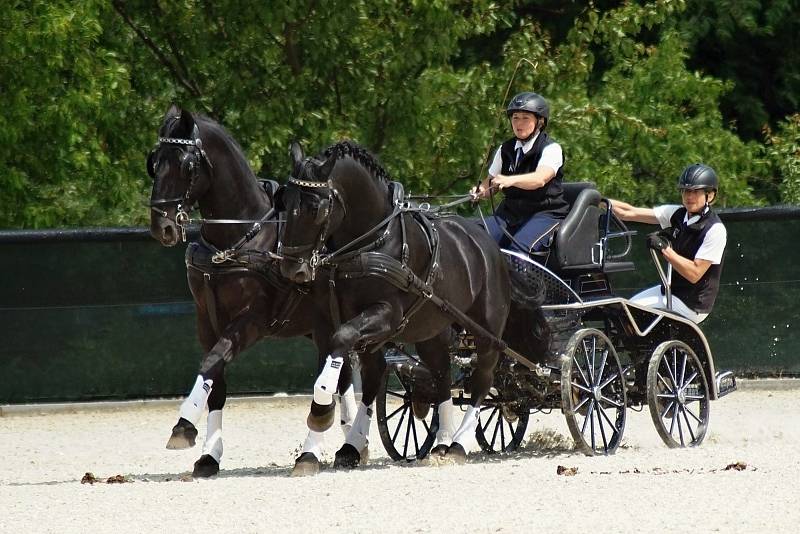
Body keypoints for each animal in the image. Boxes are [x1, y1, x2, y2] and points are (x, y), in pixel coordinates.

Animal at [146, 104, 356, 478]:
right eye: (154, 162)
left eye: (186, 165)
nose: (162, 226)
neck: (240, 238)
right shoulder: (207, 321)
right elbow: (214, 378)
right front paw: (208, 456)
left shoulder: (252, 321)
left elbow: (212, 360)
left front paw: (183, 425)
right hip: (324, 327)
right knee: (342, 377)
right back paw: (348, 447)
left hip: (329, 325)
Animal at [278, 141, 536, 468]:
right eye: (284, 201)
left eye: (315, 207)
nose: (292, 268)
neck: (369, 244)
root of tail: (489, 244)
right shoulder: (326, 324)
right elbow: (335, 373)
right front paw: (311, 452)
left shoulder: (386, 315)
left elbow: (338, 357)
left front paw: (322, 418)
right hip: (431, 331)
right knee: (439, 378)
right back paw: (435, 444)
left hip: (486, 332)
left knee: (482, 379)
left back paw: (458, 445)